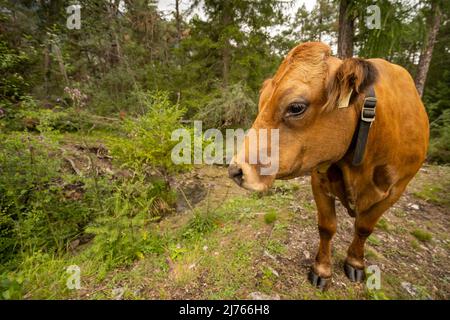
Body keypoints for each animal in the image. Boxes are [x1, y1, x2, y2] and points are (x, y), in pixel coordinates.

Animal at [229, 41, 428, 288]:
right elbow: (327, 227)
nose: (236, 170)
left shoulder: (396, 190)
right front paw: (322, 269)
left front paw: (355, 262)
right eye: (261, 102)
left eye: (296, 107)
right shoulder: (319, 179)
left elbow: (364, 227)